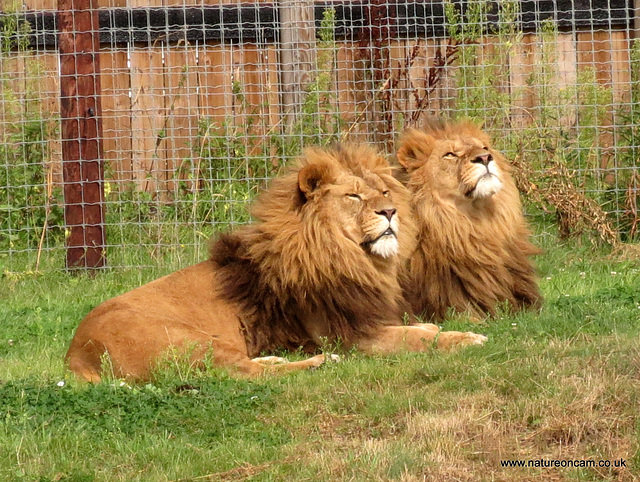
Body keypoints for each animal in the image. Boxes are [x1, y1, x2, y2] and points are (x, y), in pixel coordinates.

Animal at [65, 143, 484, 380]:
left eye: (383, 191)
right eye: (353, 196)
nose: (391, 211)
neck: (350, 258)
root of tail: (77, 353)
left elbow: (422, 328)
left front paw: (444, 328)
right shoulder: (350, 336)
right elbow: (417, 339)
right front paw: (466, 339)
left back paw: (277, 360)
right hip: (191, 341)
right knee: (242, 375)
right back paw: (316, 364)